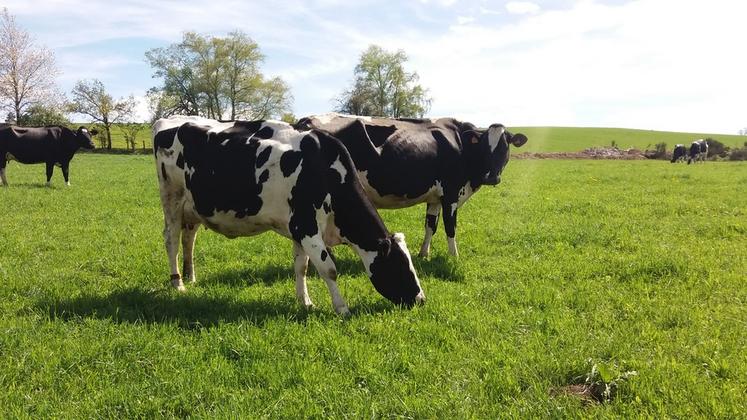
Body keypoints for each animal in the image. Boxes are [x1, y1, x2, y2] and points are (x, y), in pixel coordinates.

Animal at [153, 115, 426, 316]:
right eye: (401, 266)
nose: (421, 299)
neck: (326, 170)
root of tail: (169, 120)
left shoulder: (299, 229)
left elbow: (301, 267)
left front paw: (305, 301)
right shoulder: (307, 227)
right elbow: (328, 269)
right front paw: (342, 308)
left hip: (193, 208)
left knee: (188, 239)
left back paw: (191, 277)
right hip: (172, 199)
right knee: (171, 239)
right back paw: (178, 283)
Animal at [296, 113, 528, 258]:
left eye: (505, 147)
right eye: (485, 146)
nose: (492, 177)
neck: (461, 145)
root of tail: (306, 120)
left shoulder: (435, 198)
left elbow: (430, 226)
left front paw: (424, 253)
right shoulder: (451, 193)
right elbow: (450, 227)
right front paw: (454, 256)